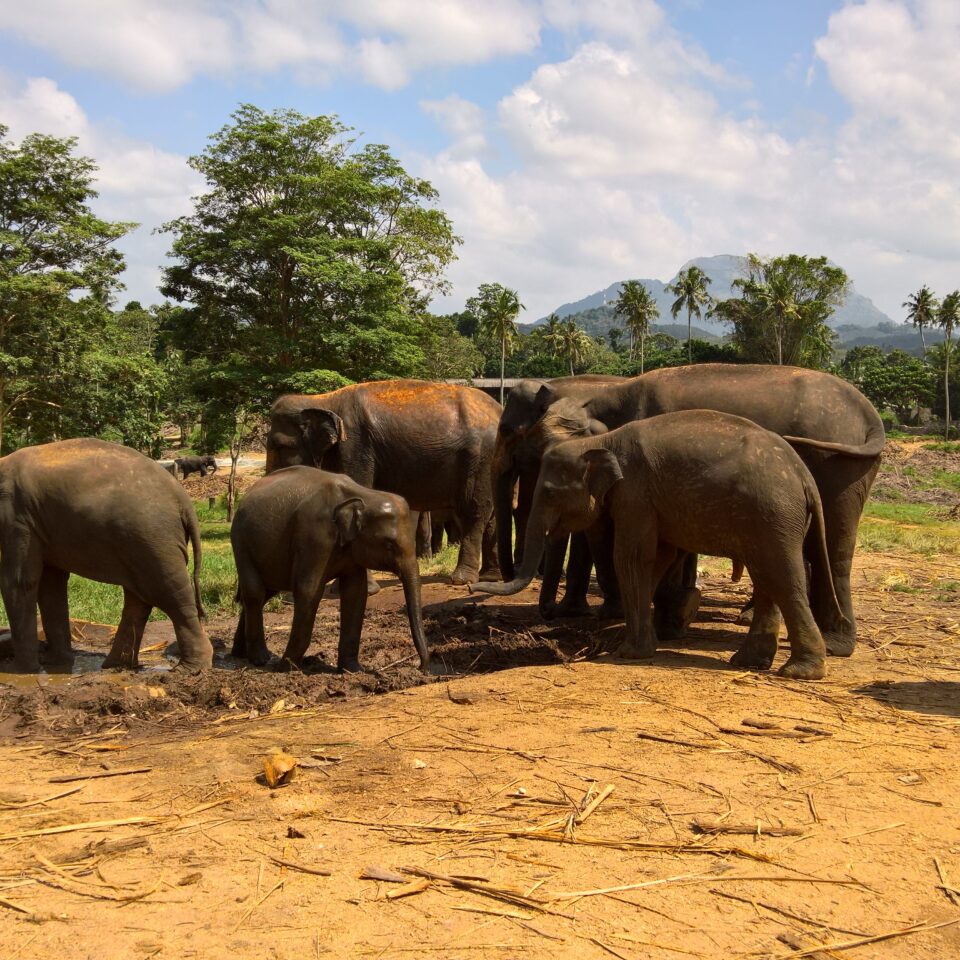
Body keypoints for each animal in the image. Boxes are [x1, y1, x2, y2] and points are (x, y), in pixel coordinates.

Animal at [0, 438, 212, 672]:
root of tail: (183, 499)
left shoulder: (17, 517)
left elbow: (20, 582)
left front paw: (19, 671)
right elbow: (51, 585)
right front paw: (56, 664)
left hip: (155, 539)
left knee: (171, 595)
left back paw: (189, 669)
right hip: (143, 543)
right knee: (139, 598)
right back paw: (116, 665)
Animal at [230, 468, 432, 672]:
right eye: (389, 545)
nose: (420, 668)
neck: (362, 495)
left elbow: (356, 593)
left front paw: (353, 670)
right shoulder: (314, 538)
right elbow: (308, 591)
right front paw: (284, 667)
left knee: (264, 593)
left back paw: (240, 654)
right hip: (240, 542)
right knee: (255, 593)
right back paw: (260, 659)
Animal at [264, 378, 502, 580]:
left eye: (280, 446)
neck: (321, 400)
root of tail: (499, 409)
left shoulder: (355, 448)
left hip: (481, 458)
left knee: (475, 511)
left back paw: (461, 579)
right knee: (491, 516)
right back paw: (490, 577)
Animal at [470, 406, 840, 684]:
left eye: (548, 492)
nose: (473, 588)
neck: (602, 440)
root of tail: (804, 476)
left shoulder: (635, 492)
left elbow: (632, 557)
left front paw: (628, 653)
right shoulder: (645, 500)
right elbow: (659, 557)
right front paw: (642, 643)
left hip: (773, 514)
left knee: (781, 576)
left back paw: (799, 672)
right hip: (771, 519)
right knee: (766, 576)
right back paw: (749, 663)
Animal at [496, 364, 884, 656]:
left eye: (511, 432)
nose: (548, 614)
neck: (604, 391)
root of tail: (871, 416)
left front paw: (669, 620)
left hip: (839, 467)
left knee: (832, 548)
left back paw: (835, 645)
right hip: (853, 470)